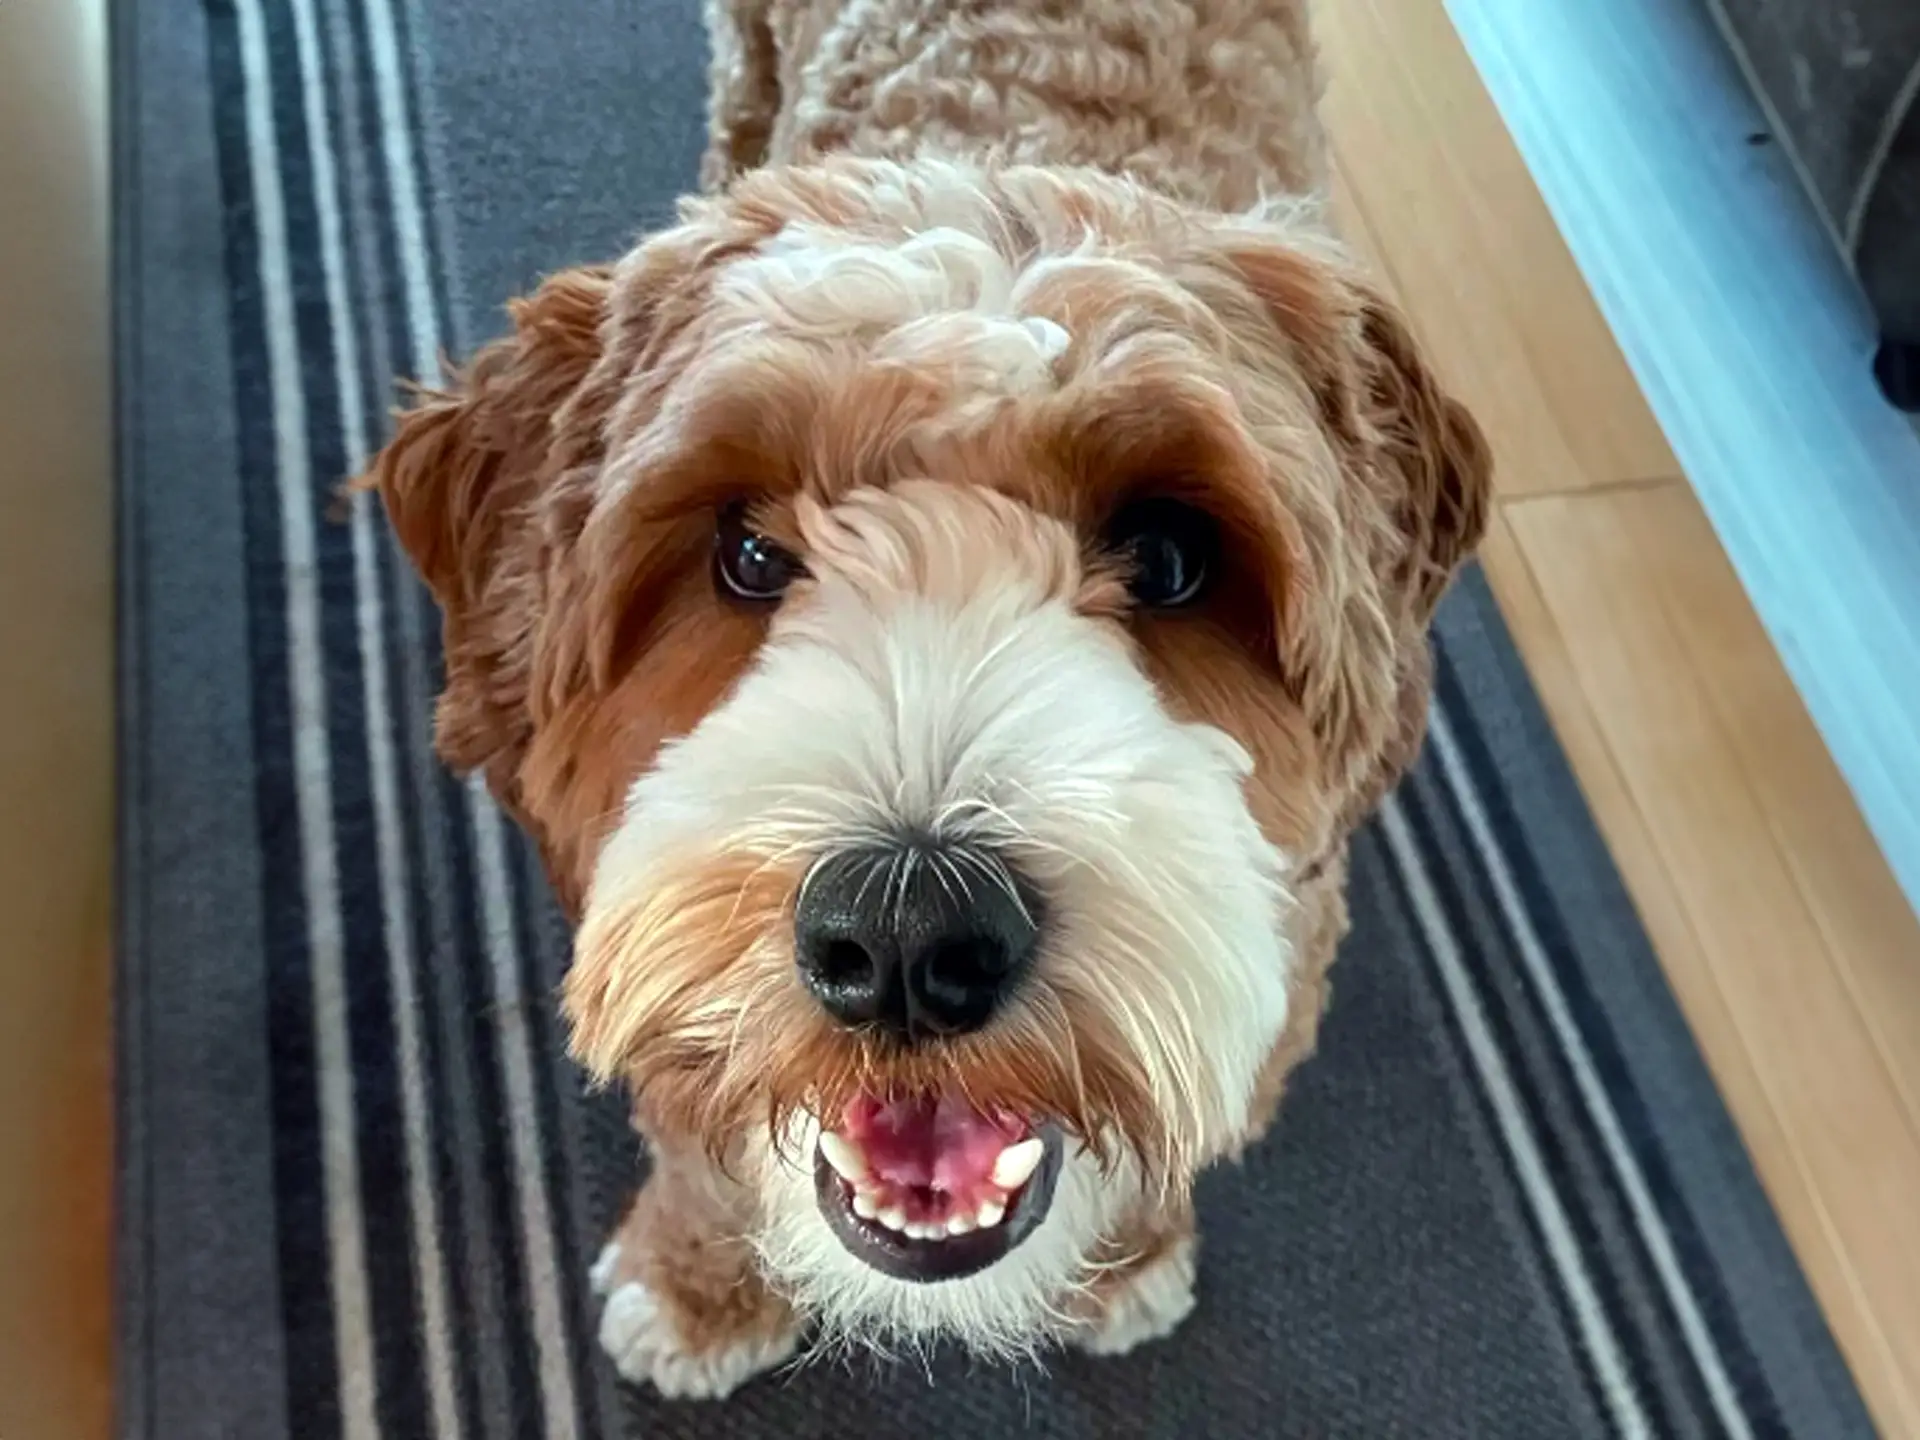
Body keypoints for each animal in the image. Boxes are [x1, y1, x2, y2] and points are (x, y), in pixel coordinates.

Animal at [362, 0, 1497, 1405]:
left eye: (1170, 555)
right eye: (749, 552)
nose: (909, 928)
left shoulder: (1288, 963)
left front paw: (1124, 1261)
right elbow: (697, 1119)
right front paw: (696, 1288)